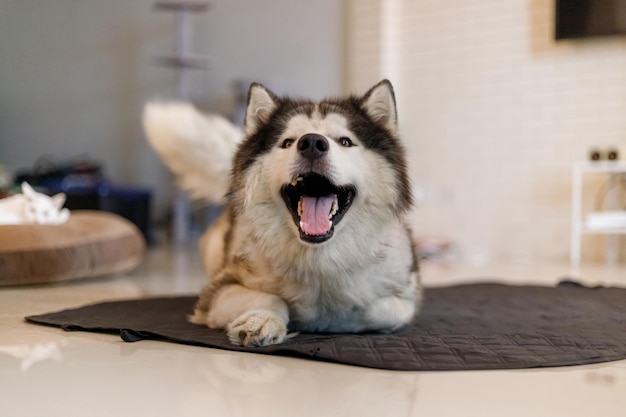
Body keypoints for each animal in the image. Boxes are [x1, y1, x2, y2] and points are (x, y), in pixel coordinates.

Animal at [144, 79, 422, 346]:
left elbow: (379, 309)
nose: (312, 143)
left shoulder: (406, 295)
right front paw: (262, 320)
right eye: (288, 142)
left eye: (345, 141)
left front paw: (336, 317)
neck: (319, 257)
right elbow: (269, 298)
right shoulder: (217, 291)